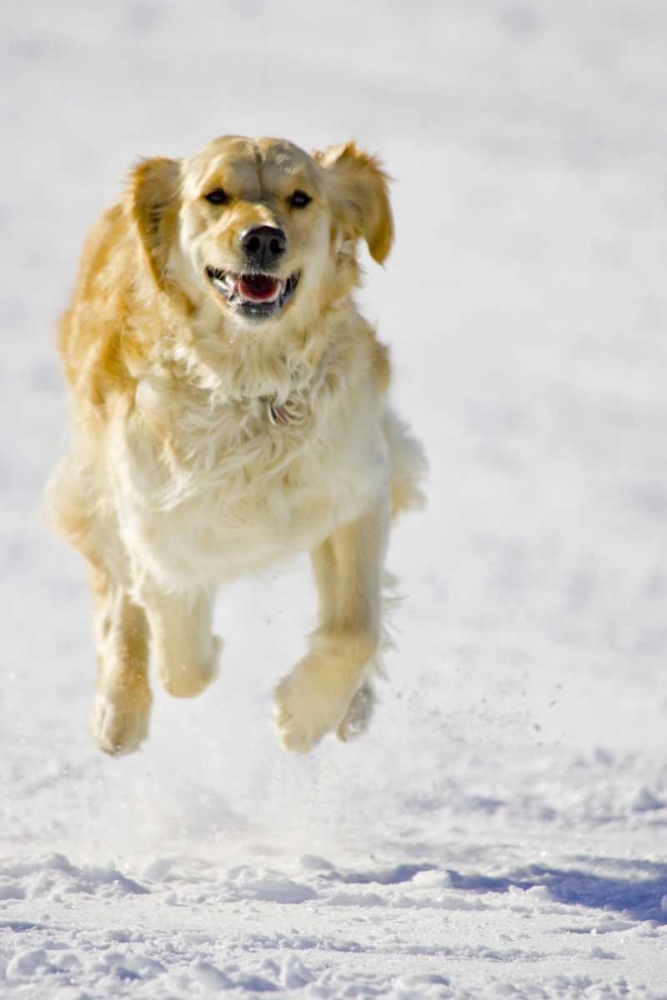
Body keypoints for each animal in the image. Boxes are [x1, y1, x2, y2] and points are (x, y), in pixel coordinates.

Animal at [51, 135, 428, 756]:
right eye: (216, 196)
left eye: (300, 198)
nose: (264, 238)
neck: (252, 387)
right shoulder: (155, 522)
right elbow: (182, 660)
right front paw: (199, 657)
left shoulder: (358, 491)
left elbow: (355, 630)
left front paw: (304, 714)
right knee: (123, 603)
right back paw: (119, 711)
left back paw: (352, 708)